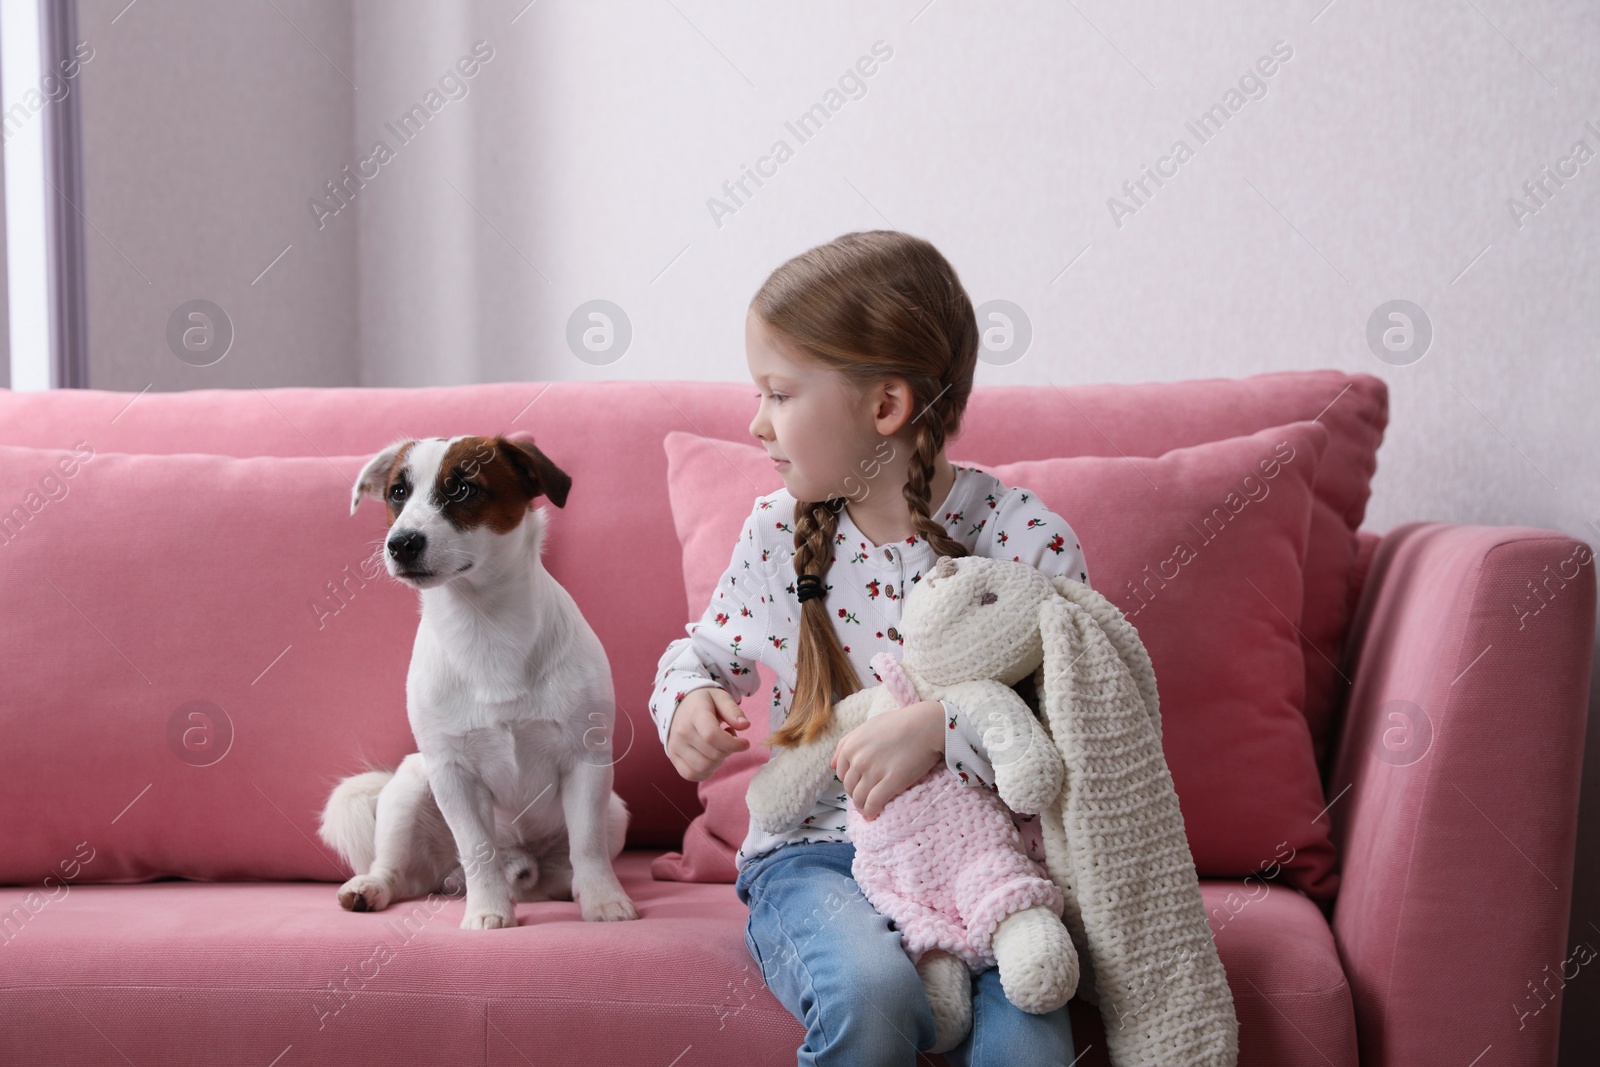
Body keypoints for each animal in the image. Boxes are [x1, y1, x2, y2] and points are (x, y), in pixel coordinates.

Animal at [315, 435, 640, 927]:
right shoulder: (452, 776)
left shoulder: (586, 760)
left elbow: (588, 845)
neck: (483, 624)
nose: (401, 543)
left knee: (562, 869)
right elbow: (477, 849)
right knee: (401, 873)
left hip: (615, 813)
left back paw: (565, 887)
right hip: (410, 788)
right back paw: (372, 887)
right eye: (398, 493)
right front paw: (487, 910)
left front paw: (604, 900)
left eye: (462, 489)